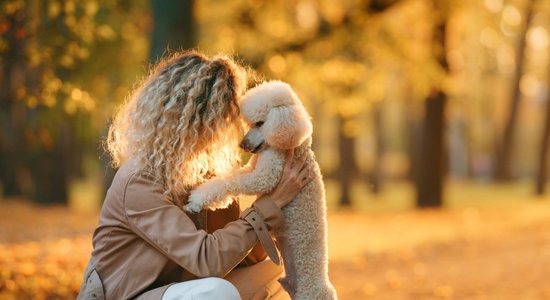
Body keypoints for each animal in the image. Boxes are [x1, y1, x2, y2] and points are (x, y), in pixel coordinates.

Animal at [185, 80, 338, 300]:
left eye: (260, 123)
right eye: (250, 123)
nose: (243, 144)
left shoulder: (266, 175)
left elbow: (230, 182)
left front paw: (197, 200)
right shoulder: (253, 167)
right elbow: (231, 177)